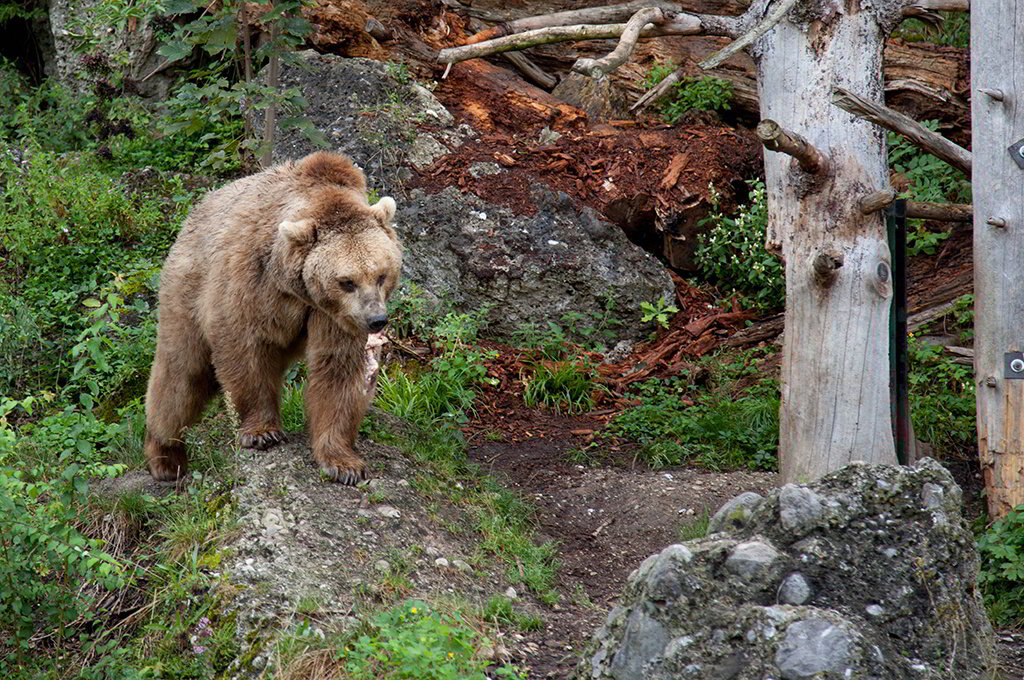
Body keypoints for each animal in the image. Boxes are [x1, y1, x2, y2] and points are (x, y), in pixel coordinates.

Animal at [144, 151, 399, 485]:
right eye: (347, 281)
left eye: (381, 275)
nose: (376, 320)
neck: (298, 289)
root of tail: (194, 213)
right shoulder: (254, 282)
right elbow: (245, 349)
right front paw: (262, 432)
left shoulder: (335, 317)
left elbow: (338, 370)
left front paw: (344, 464)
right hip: (188, 287)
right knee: (182, 373)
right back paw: (164, 455)